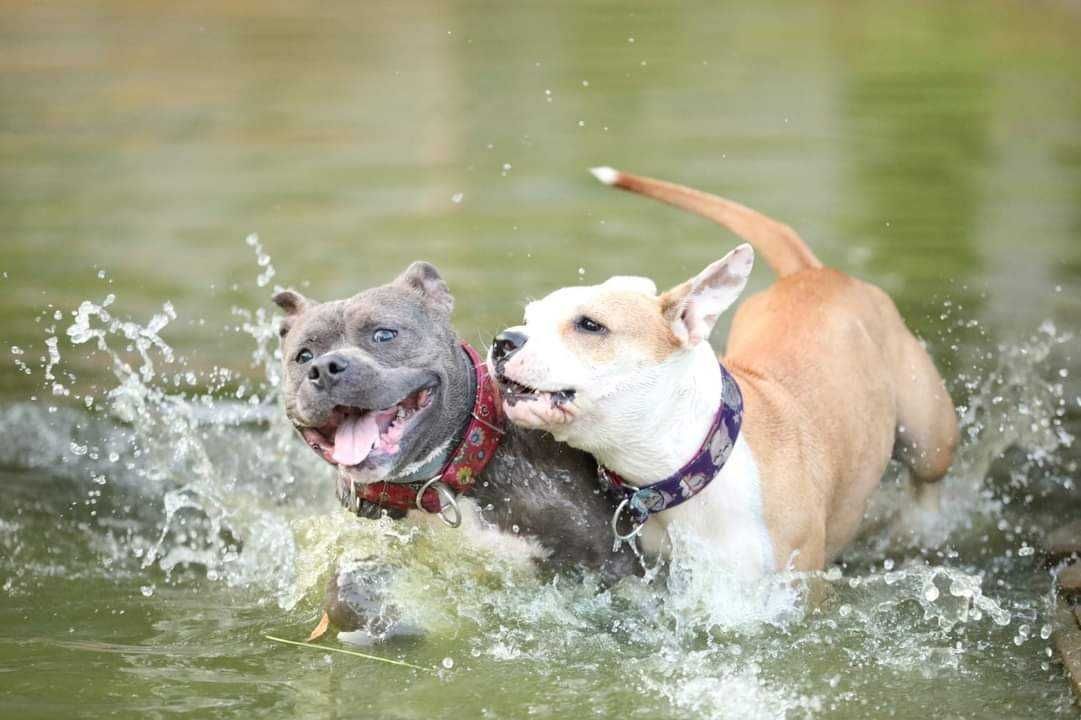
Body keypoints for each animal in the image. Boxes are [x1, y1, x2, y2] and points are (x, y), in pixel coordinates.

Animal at [488, 168, 955, 579]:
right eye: (529, 318)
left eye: (590, 325)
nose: (504, 341)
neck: (694, 462)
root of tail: (810, 272)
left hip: (929, 434)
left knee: (929, 477)